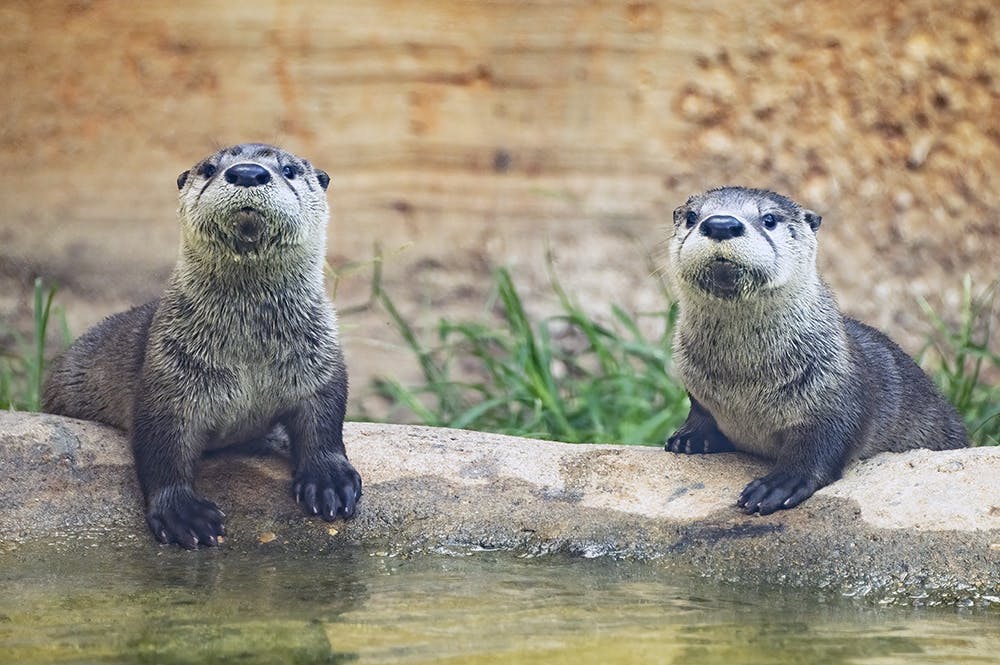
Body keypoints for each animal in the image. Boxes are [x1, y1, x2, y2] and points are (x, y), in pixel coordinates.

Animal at [42, 143, 362, 548]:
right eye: (210, 169)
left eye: (289, 170)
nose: (247, 172)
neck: (249, 351)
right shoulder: (167, 376)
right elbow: (160, 446)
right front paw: (181, 512)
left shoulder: (319, 363)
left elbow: (324, 424)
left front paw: (329, 481)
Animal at [663, 186, 966, 514]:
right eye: (692, 217)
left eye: (769, 219)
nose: (720, 224)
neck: (742, 384)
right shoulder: (698, 387)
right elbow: (700, 410)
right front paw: (690, 436)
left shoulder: (837, 392)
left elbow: (823, 443)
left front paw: (781, 483)